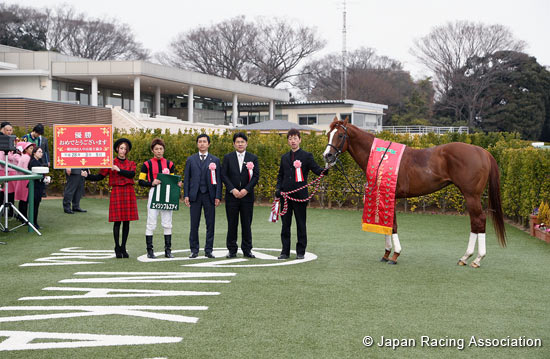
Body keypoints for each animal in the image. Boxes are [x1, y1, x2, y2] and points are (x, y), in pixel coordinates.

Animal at [324, 119, 508, 268]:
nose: (328, 156)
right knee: (474, 222)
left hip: (472, 196)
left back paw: (476, 259)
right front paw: (386, 253)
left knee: (479, 220)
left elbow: (393, 225)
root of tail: (482, 152)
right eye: (328, 134)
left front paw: (395, 255)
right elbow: (387, 226)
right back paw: (465, 258)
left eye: (340, 135)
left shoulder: (391, 196)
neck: (382, 158)